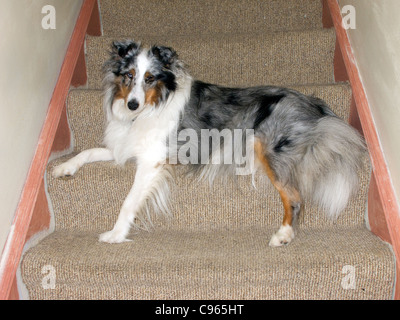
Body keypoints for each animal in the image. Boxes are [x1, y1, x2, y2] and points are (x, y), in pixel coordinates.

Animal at [53, 39, 366, 245]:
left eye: (150, 78)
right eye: (129, 76)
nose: (132, 104)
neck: (151, 106)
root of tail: (315, 104)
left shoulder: (153, 160)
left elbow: (129, 201)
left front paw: (116, 234)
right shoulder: (126, 146)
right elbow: (89, 151)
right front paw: (63, 168)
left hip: (268, 148)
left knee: (295, 197)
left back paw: (283, 235)